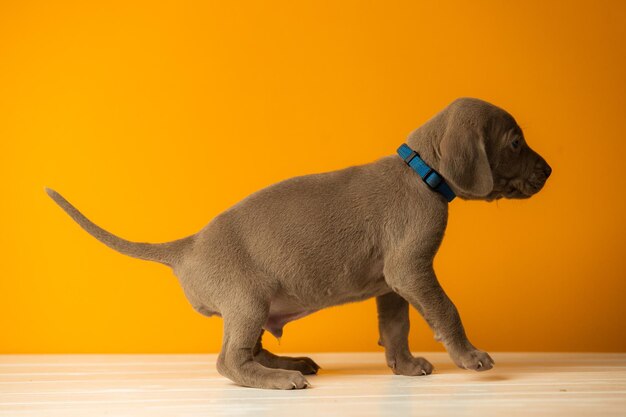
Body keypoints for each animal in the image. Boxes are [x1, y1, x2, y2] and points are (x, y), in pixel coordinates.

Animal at [46, 98, 548, 390]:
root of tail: (186, 246)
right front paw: (469, 356)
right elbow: (446, 310)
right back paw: (278, 379)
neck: (421, 172)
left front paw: (403, 367)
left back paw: (288, 364)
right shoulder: (411, 269)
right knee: (229, 362)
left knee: (246, 350)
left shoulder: (392, 282)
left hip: (252, 306)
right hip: (246, 299)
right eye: (516, 143)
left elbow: (396, 329)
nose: (550, 171)